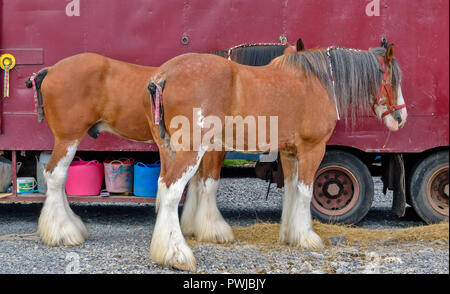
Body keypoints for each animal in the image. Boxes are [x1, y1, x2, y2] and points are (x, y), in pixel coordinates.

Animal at [24, 42, 298, 247]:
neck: (236, 86)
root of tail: (51, 70)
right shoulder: (213, 150)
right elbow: (209, 184)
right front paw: (213, 229)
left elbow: (195, 184)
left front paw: (189, 226)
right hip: (68, 137)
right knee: (56, 176)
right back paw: (63, 232)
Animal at [144, 43, 408, 272]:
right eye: (393, 80)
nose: (401, 118)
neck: (319, 83)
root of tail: (164, 75)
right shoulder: (313, 149)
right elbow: (305, 192)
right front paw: (307, 237)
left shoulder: (290, 153)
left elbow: (291, 190)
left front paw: (291, 235)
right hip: (191, 150)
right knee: (171, 191)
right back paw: (177, 254)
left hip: (169, 149)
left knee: (164, 187)